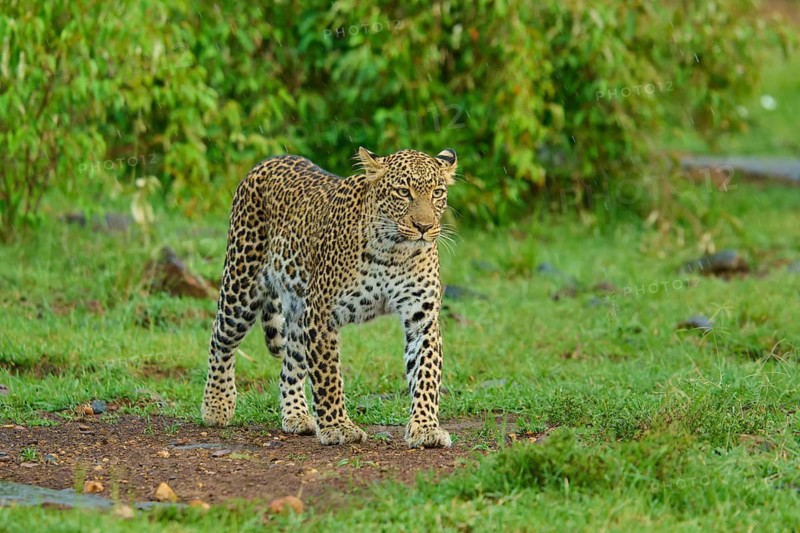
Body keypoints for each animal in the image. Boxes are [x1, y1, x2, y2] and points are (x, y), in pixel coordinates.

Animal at [201, 147, 458, 448]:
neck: (394, 252)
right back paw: (216, 405)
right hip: (242, 286)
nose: (424, 226)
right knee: (220, 338)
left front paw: (426, 428)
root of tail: (270, 160)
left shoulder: (421, 318)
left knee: (290, 364)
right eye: (403, 192)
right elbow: (328, 376)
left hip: (297, 311)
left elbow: (426, 374)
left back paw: (296, 416)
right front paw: (338, 427)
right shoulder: (322, 313)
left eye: (437, 192)